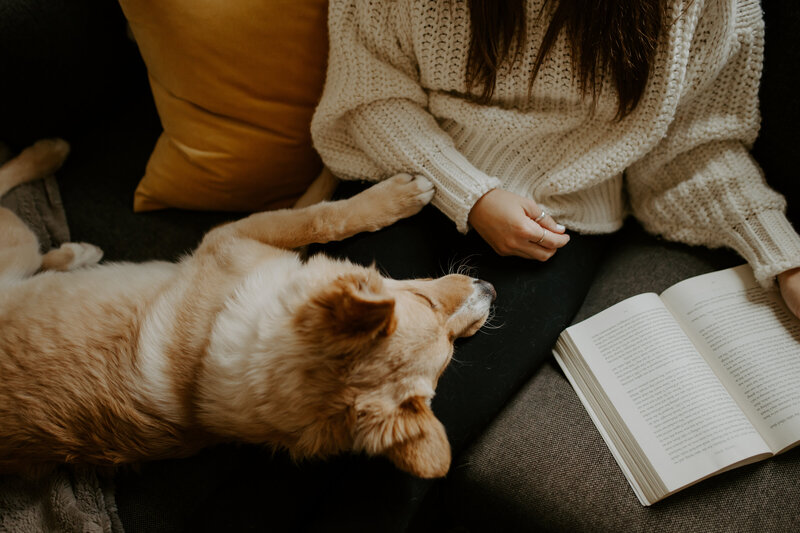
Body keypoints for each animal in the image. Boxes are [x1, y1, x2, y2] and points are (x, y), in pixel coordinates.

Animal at [0, 139, 496, 476]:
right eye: (424, 301)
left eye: (449, 355)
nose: (491, 289)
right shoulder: (236, 235)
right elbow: (321, 214)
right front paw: (387, 191)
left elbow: (312, 209)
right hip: (17, 241)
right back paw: (49, 155)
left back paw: (72, 249)